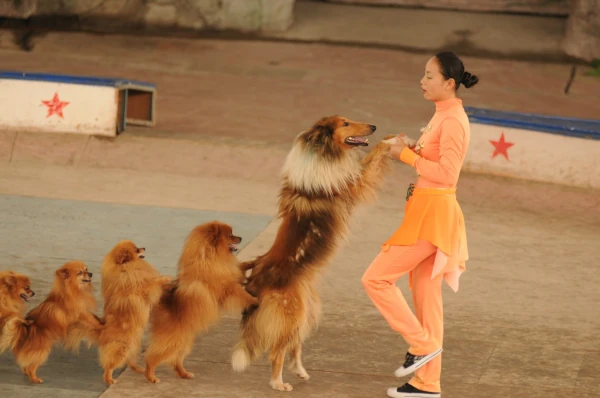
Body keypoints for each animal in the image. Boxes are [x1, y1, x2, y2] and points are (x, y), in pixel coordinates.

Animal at [145, 221, 260, 382]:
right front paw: (254, 300)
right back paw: (151, 377)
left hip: (184, 343)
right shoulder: (228, 288)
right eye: (230, 235)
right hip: (172, 341)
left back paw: (184, 374)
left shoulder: (230, 274)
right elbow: (242, 294)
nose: (241, 238)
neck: (210, 258)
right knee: (152, 357)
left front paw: (253, 262)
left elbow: (240, 267)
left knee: (175, 360)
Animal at [231, 115, 394, 392]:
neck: (321, 153)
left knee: (293, 346)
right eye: (345, 124)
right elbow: (372, 159)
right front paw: (393, 141)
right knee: (277, 351)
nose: (373, 126)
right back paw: (279, 383)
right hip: (291, 312)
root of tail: (254, 281)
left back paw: (300, 371)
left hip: (304, 311)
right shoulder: (354, 183)